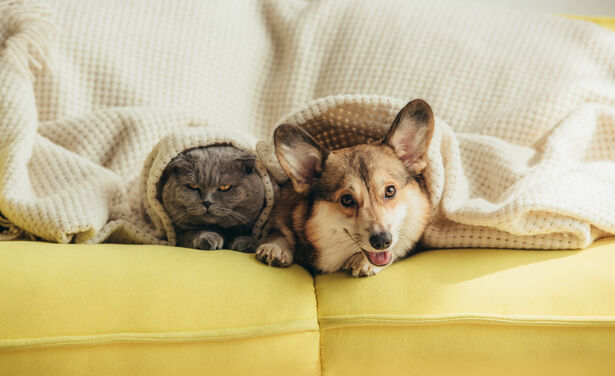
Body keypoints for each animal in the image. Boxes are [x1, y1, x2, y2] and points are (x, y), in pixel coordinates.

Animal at [258, 99, 436, 276]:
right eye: (347, 199)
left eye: (390, 191)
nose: (382, 241)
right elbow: (280, 232)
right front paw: (275, 247)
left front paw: (363, 261)